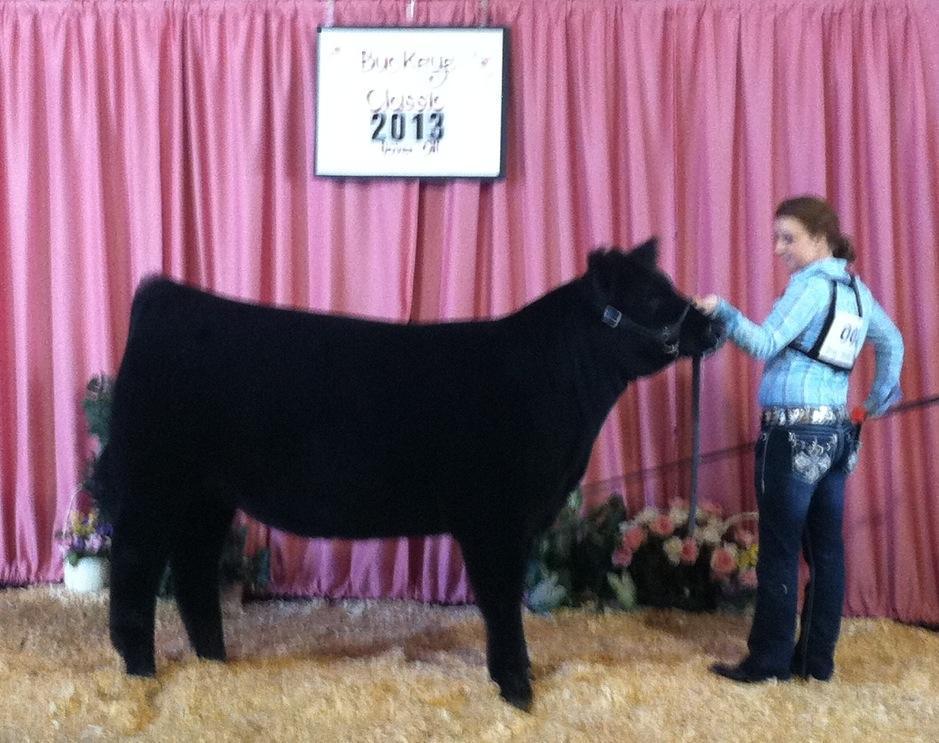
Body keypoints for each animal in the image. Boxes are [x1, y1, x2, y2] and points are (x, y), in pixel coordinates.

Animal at [93, 238, 723, 710]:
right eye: (651, 296)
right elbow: (501, 603)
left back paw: (214, 664)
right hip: (154, 483)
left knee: (194, 571)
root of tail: (165, 297)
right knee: (135, 572)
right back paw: (141, 673)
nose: (714, 327)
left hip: (208, 494)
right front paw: (517, 690)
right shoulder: (495, 517)